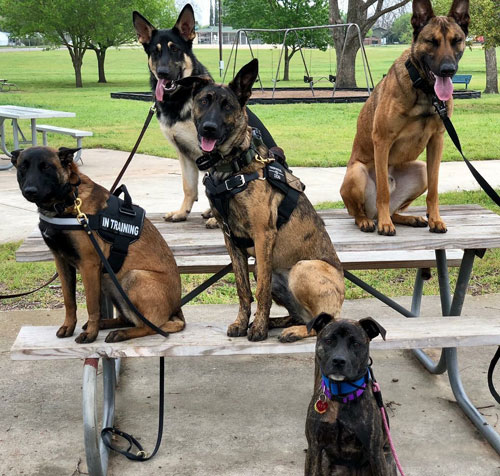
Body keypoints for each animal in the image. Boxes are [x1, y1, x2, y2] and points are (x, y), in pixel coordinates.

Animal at [12, 147, 185, 344]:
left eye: (46, 167)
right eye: (22, 167)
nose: (30, 191)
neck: (68, 200)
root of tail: (176, 311)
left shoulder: (89, 265)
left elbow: (92, 305)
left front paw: (91, 334)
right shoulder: (62, 262)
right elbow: (69, 301)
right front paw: (69, 326)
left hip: (132, 277)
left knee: (150, 326)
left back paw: (120, 333)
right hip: (109, 281)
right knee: (128, 319)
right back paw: (107, 325)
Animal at [133, 4, 278, 225]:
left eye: (175, 49)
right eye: (155, 52)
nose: (163, 72)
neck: (179, 99)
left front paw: (217, 217)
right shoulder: (184, 153)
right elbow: (189, 186)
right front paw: (182, 212)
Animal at [178, 59, 346, 342]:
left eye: (228, 106)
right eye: (203, 101)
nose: (208, 128)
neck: (232, 167)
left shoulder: (262, 235)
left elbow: (261, 291)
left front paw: (257, 328)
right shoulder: (230, 240)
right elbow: (243, 289)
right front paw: (243, 322)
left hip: (302, 268)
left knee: (324, 322)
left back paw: (289, 330)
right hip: (268, 271)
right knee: (305, 317)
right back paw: (278, 322)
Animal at [302, 314, 396, 474]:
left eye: (356, 344)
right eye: (329, 341)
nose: (339, 361)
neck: (341, 394)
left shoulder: (376, 453)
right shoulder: (314, 448)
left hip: (388, 459)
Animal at [340, 0, 468, 236]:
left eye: (457, 40)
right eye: (431, 41)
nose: (448, 70)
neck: (425, 90)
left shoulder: (437, 141)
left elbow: (434, 190)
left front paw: (435, 219)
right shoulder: (382, 140)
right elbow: (383, 191)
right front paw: (384, 225)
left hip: (420, 170)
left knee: (395, 210)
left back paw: (409, 218)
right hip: (357, 172)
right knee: (360, 212)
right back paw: (369, 220)